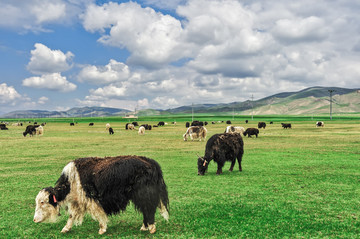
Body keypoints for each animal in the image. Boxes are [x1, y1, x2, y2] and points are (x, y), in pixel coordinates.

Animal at [33, 156, 169, 234]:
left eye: (42, 202)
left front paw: (102, 229)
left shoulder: (90, 199)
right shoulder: (78, 200)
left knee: (149, 209)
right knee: (145, 210)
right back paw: (144, 227)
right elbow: (72, 216)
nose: (34, 220)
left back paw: (151, 228)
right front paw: (65, 229)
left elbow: (98, 214)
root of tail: (151, 163)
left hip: (143, 194)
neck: (71, 182)